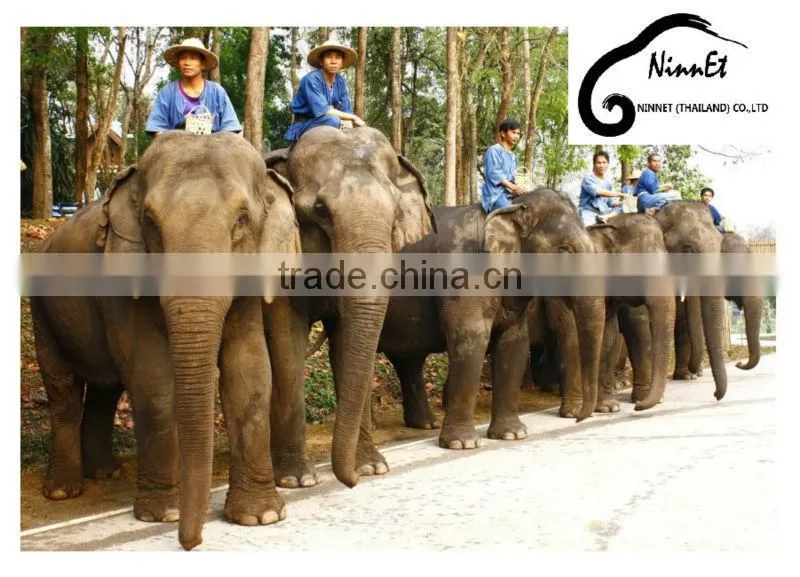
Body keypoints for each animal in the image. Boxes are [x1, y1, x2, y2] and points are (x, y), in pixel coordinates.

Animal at [29, 131, 300, 550]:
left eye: (242, 220)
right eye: (150, 222)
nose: (191, 543)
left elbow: (250, 370)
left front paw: (261, 516)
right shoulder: (124, 275)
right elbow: (152, 377)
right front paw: (162, 515)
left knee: (105, 388)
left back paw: (104, 473)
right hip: (42, 309)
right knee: (64, 391)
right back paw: (63, 490)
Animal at [263, 126, 437, 488]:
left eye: (395, 212)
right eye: (320, 209)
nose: (351, 482)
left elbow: (346, 344)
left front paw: (372, 467)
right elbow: (287, 347)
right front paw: (298, 480)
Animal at [376, 189, 605, 448]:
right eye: (564, 249)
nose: (579, 419)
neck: (510, 207)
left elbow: (514, 343)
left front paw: (512, 435)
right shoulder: (463, 275)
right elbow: (472, 338)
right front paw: (462, 444)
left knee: (408, 359)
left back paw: (425, 424)